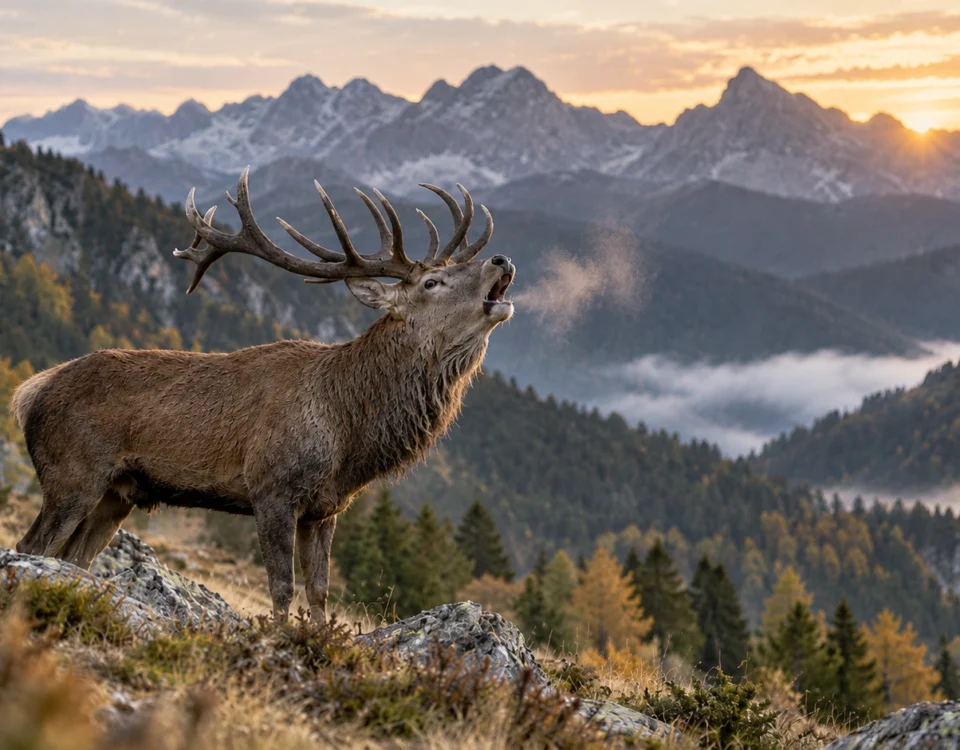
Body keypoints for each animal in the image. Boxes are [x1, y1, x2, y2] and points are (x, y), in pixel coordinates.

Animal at [10, 167, 515, 621]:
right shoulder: (272, 487)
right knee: (30, 546)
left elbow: (319, 592)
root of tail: (29, 392)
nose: (501, 260)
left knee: (72, 558)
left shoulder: (325, 508)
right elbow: (281, 587)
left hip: (118, 493)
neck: (346, 433)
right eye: (432, 282)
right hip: (72, 473)